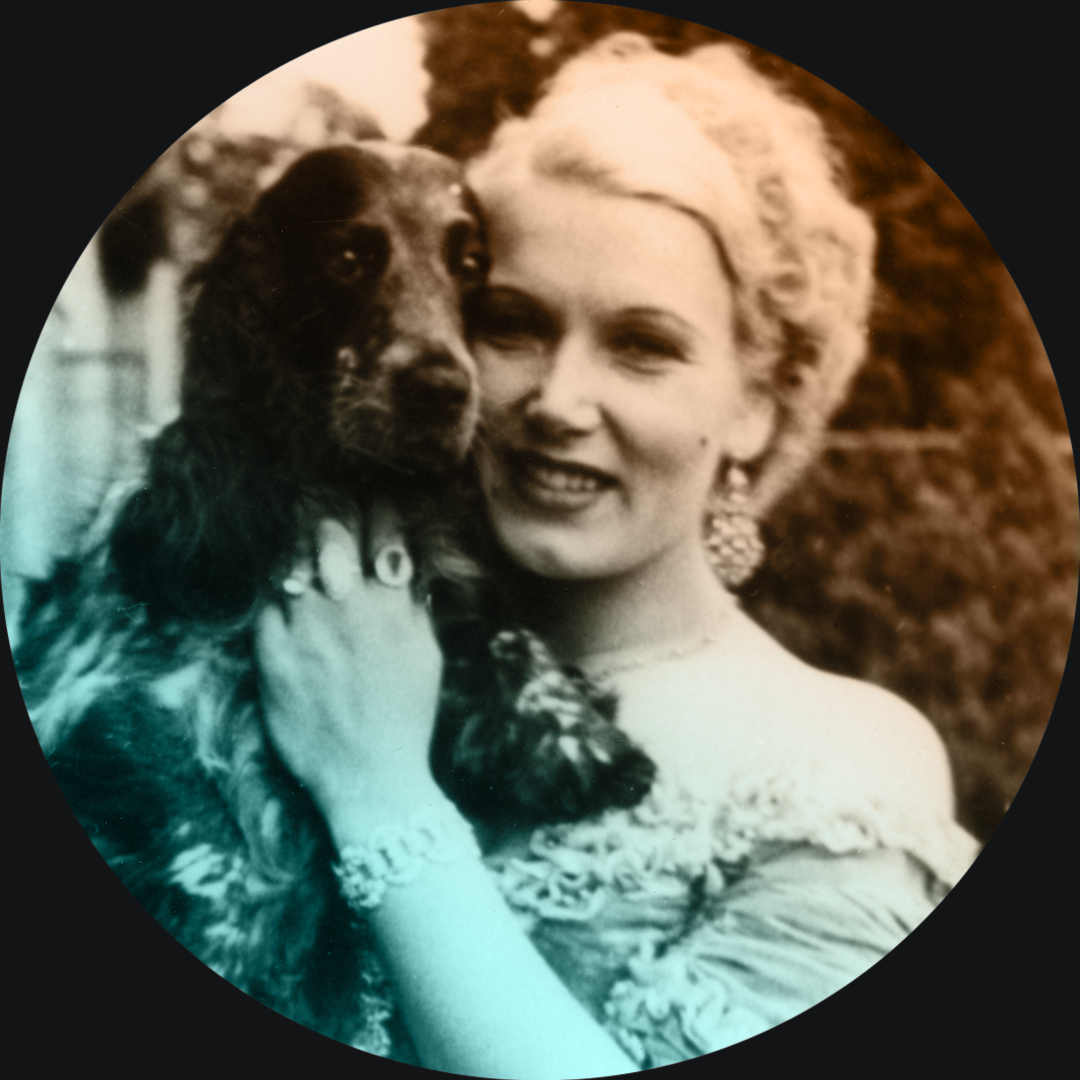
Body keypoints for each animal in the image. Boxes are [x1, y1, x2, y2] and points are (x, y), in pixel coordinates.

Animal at [15, 142, 655, 1055]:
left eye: (469, 266)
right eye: (348, 256)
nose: (441, 388)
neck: (339, 492)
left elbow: (494, 631)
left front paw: (576, 735)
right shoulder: (168, 779)